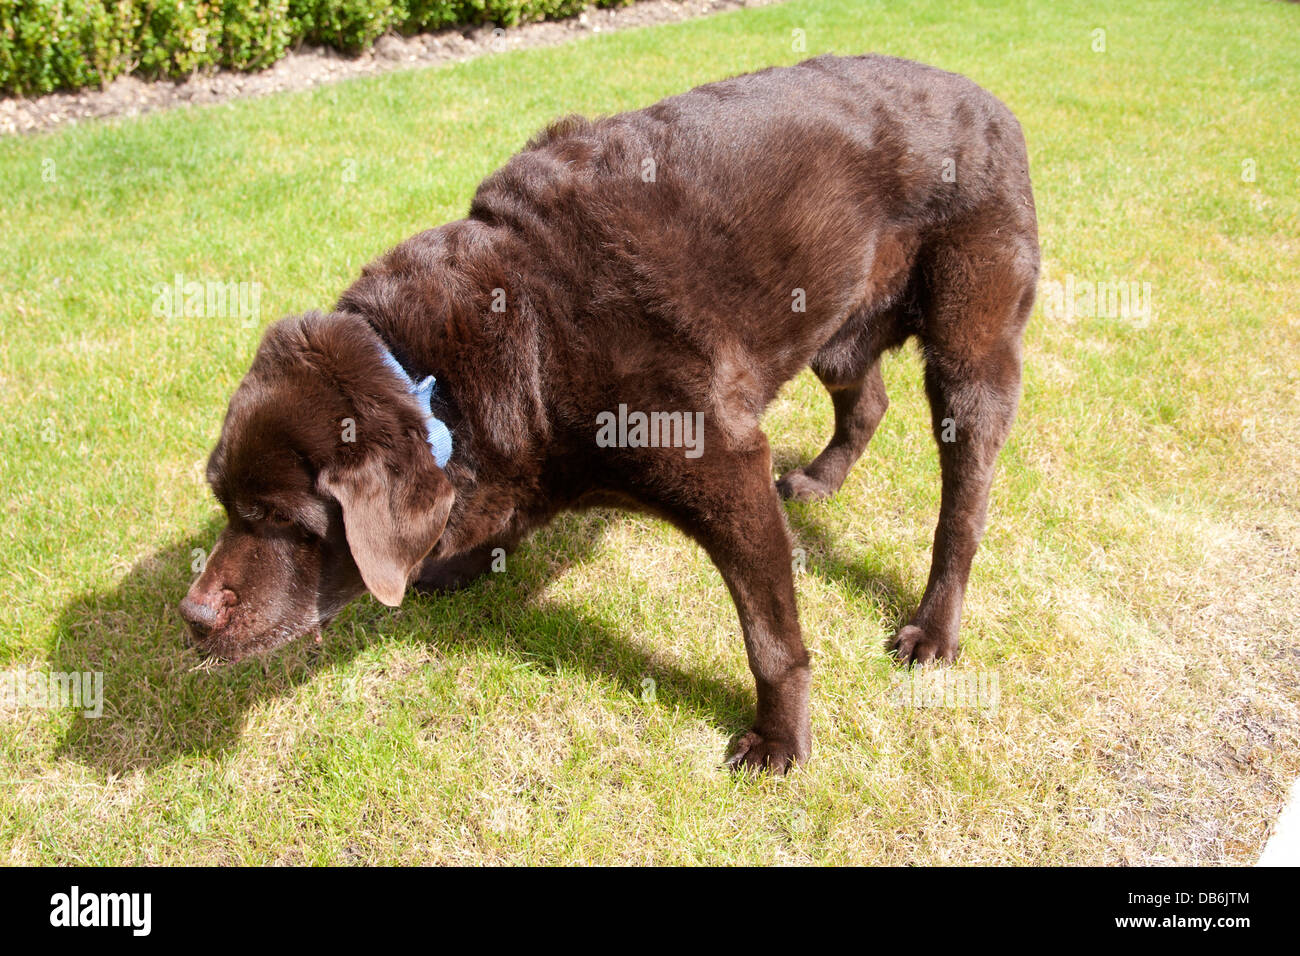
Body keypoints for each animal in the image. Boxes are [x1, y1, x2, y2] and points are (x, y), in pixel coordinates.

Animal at [180, 52, 1034, 775]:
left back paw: (934, 627)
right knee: (868, 397)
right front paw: (456, 561)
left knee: (964, 506)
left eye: (281, 520)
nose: (191, 615)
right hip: (836, 317)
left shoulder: (724, 468)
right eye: (223, 501)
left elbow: (771, 638)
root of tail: (989, 98)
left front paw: (781, 741)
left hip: (971, 347)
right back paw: (821, 480)